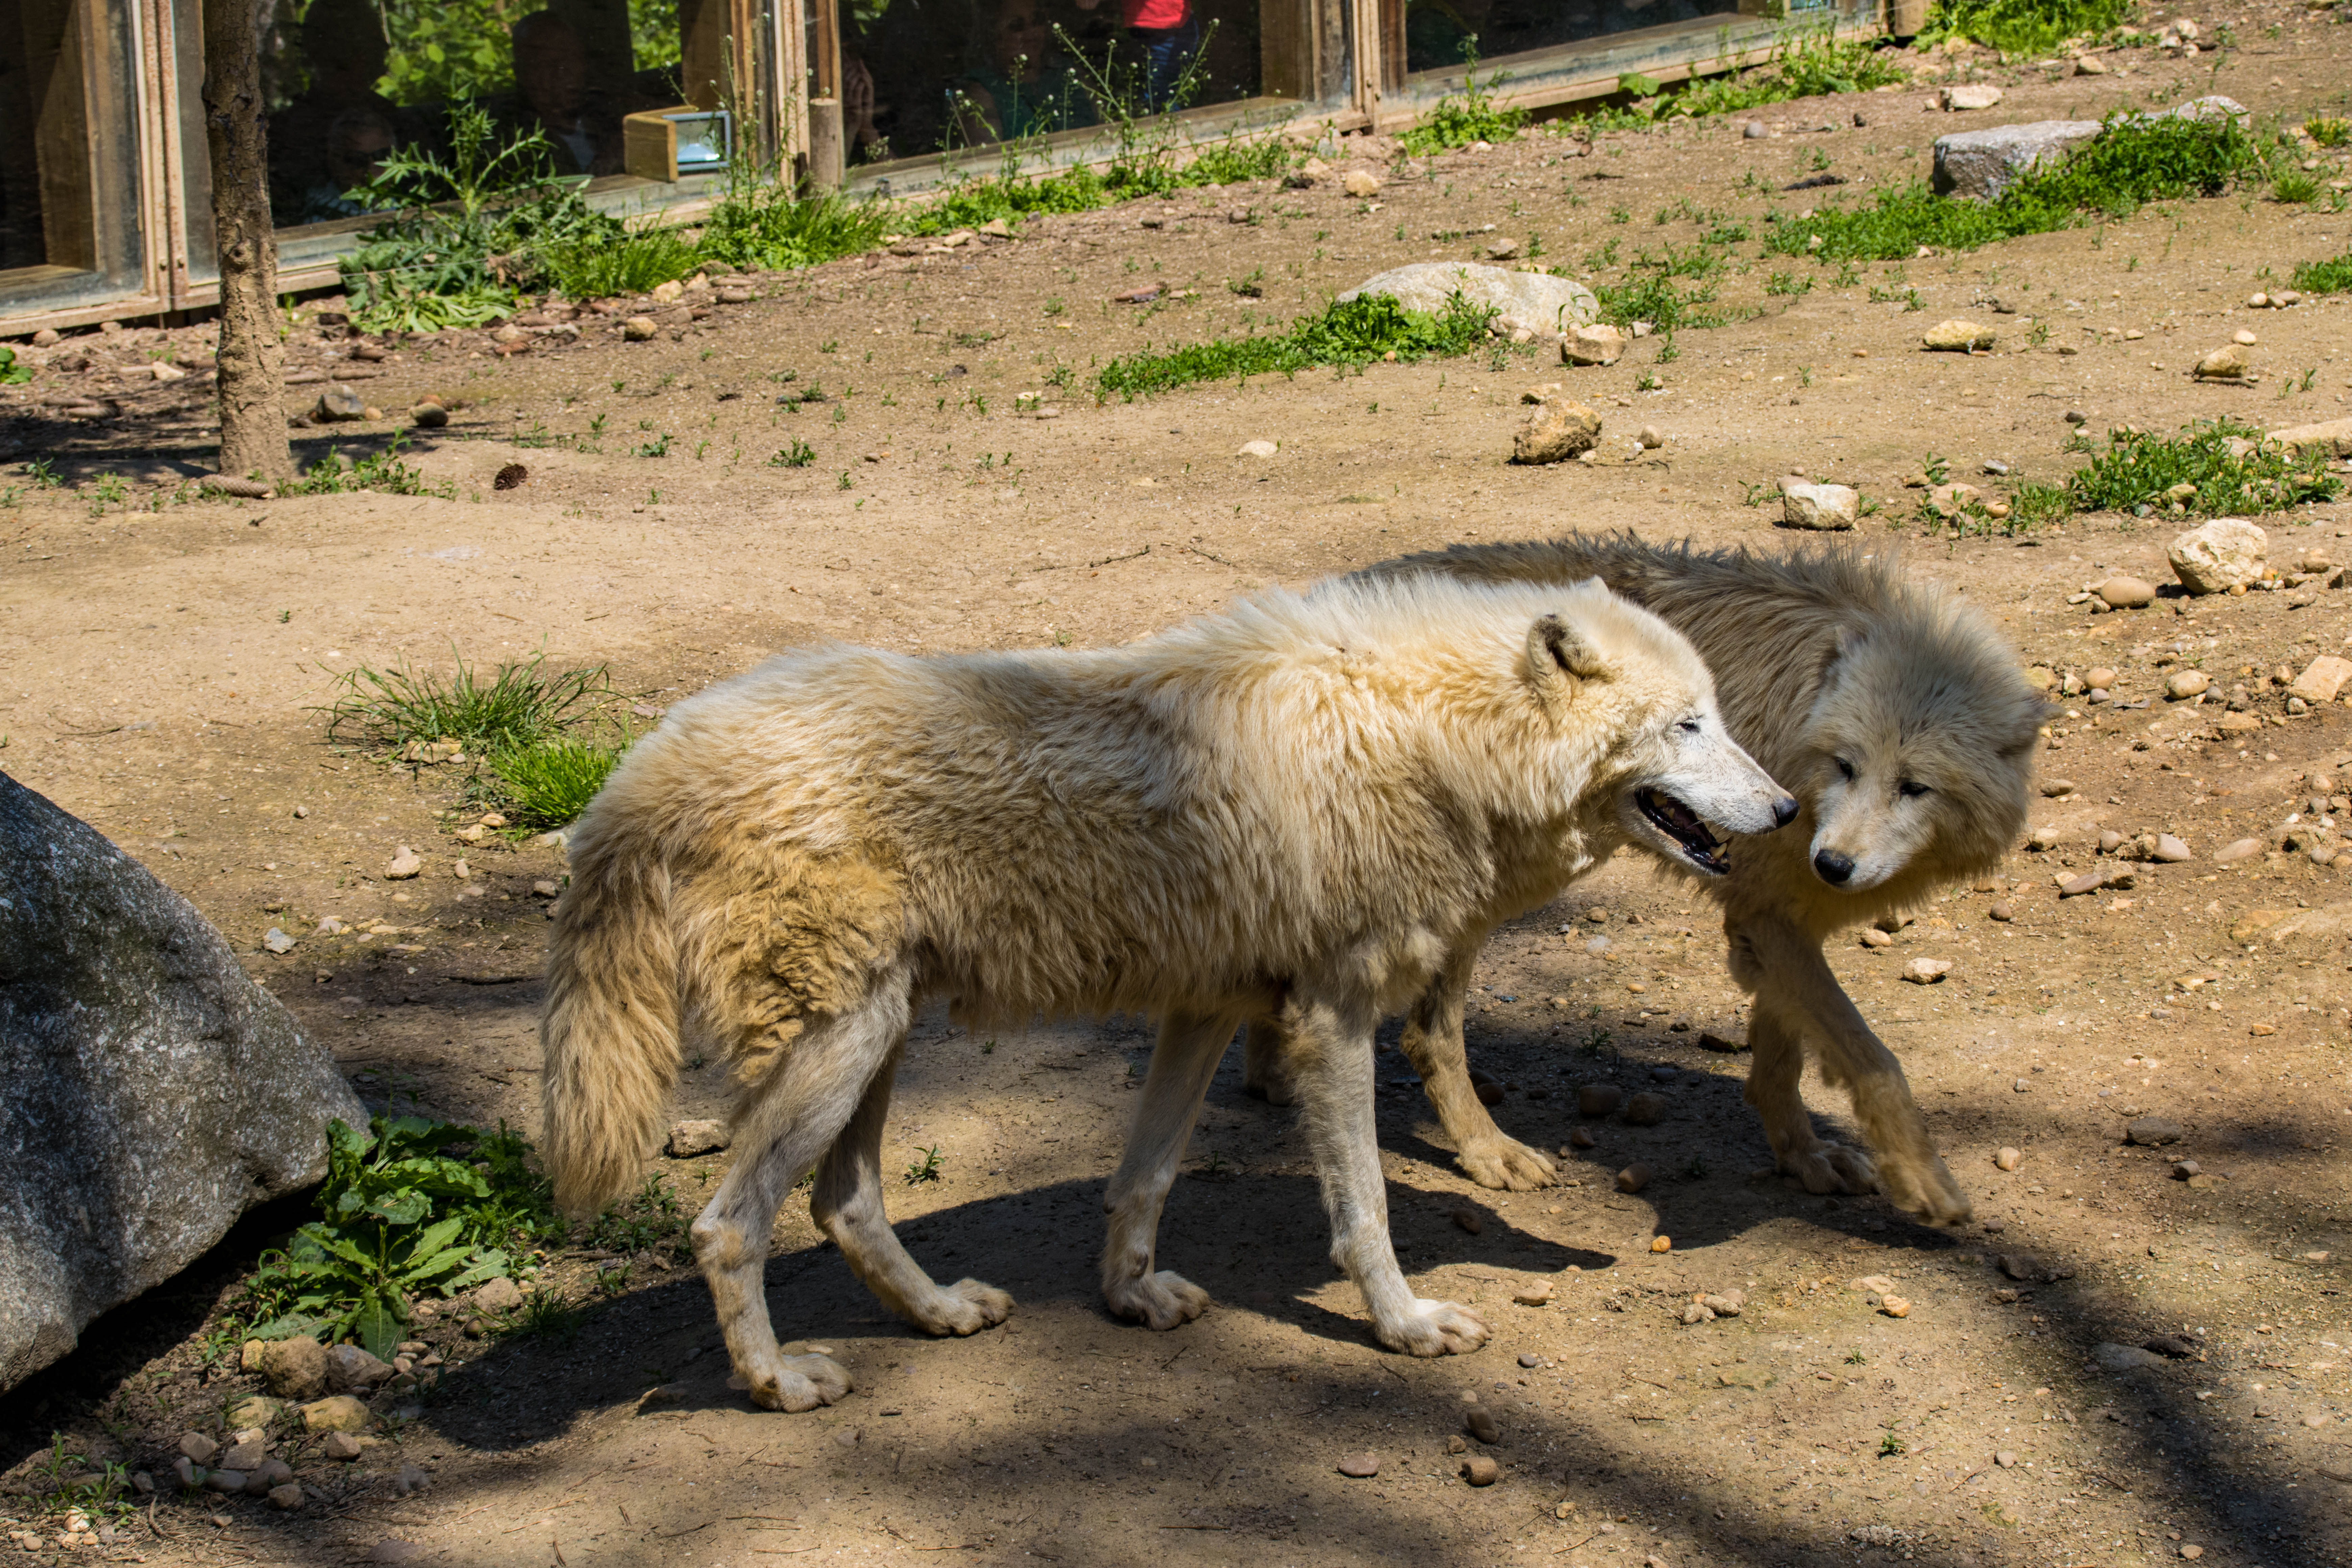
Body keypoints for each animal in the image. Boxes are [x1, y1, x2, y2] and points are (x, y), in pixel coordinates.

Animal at [538, 571, 1778, 1401]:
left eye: (1720, 715)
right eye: (1688, 724)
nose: (1784, 811)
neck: (1426, 733)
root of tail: (638, 774)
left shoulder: (1210, 1006)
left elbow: (1147, 1176)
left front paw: (1130, 1299)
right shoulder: (1333, 1018)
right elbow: (1367, 1209)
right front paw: (1405, 1325)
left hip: (873, 1041)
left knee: (844, 1205)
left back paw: (941, 1314)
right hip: (838, 1049)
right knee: (726, 1227)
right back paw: (779, 1382)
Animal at [1251, 536, 2041, 1222]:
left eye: (1915, 787)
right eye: (1847, 765)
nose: (1832, 862)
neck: (1801, 722)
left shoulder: (1776, 923)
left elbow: (1783, 1054)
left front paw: (1804, 1156)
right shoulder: (1770, 919)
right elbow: (1871, 1056)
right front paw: (1925, 1182)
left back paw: (1270, 1075)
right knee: (1427, 1035)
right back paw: (1486, 1152)